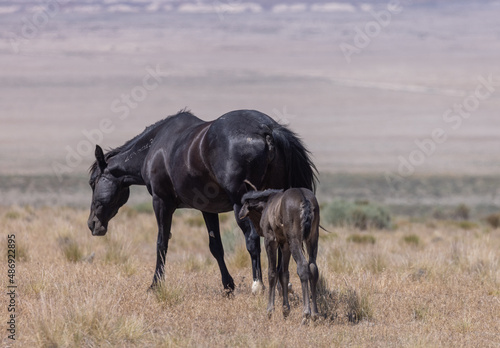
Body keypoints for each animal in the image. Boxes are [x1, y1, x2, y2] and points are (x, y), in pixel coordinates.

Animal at [88, 109, 316, 290]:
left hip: (242, 205)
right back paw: (281, 284)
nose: (92, 224)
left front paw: (155, 285)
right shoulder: (208, 209)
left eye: (92, 182)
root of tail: (267, 129)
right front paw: (228, 286)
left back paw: (258, 285)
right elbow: (216, 247)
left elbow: (162, 242)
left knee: (252, 239)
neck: (156, 148)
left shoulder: (162, 203)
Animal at [239, 189, 318, 320]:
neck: (268, 202)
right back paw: (315, 314)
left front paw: (270, 310)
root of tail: (303, 198)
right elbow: (284, 273)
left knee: (303, 267)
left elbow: (272, 273)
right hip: (312, 239)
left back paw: (306, 314)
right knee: (313, 267)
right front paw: (285, 310)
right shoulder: (285, 244)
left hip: (294, 240)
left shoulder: (270, 241)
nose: (241, 215)